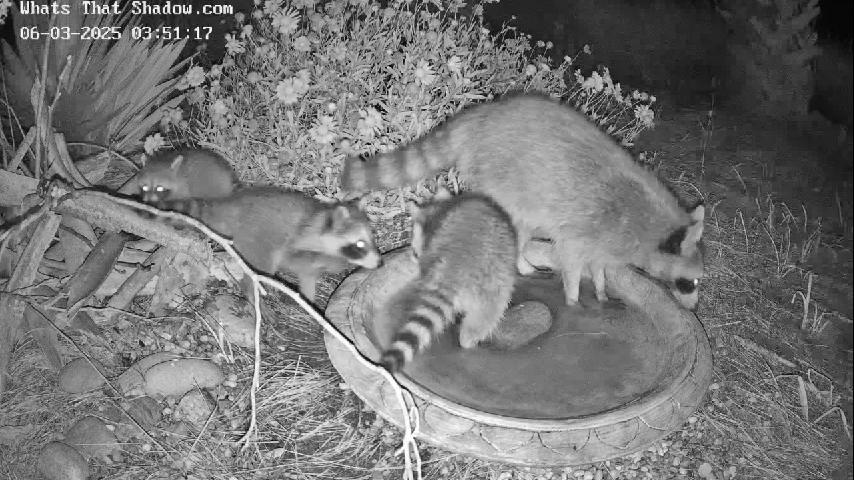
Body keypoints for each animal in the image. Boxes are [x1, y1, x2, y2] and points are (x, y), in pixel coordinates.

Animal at [158, 186, 382, 300]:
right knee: (260, 267)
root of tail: (230, 206)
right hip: (255, 240)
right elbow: (297, 260)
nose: (380, 263)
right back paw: (252, 291)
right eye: (360, 244)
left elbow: (308, 278)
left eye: (372, 238)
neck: (322, 218)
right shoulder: (297, 240)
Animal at [341, 93, 705, 310]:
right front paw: (574, 300)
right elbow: (571, 260)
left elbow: (599, 264)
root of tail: (483, 116)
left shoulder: (606, 240)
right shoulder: (589, 229)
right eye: (690, 282)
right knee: (509, 224)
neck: (654, 227)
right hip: (502, 177)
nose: (694, 307)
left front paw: (602, 290)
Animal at [380, 189, 517, 373]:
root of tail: (456, 267)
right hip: (493, 285)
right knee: (485, 316)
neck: (441, 208)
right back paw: (468, 340)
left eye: (415, 252)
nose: (414, 257)